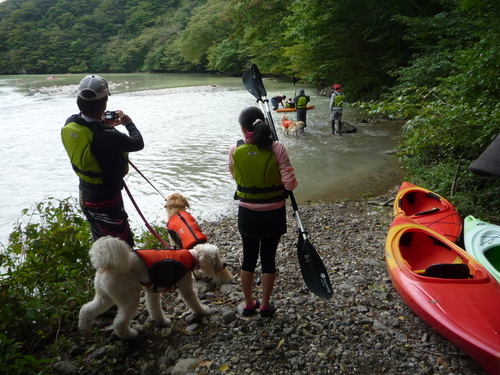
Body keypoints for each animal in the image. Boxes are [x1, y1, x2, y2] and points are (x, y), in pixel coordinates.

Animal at [78, 238, 232, 340]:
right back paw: (129, 335)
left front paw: (162, 322)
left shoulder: (153, 292)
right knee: (119, 321)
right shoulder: (184, 286)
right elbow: (193, 301)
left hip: (105, 295)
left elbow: (155, 309)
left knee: (87, 309)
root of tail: (107, 266)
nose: (225, 264)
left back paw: (85, 330)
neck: (191, 257)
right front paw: (204, 311)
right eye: (215, 257)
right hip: (129, 296)